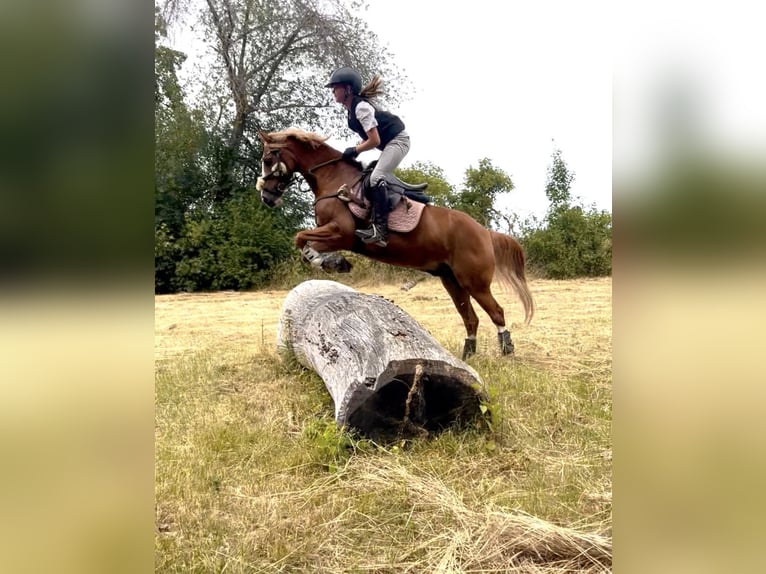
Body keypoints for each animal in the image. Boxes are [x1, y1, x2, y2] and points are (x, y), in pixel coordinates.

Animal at [256, 128, 534, 360]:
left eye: (268, 159)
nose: (266, 197)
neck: (333, 179)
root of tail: (484, 232)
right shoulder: (333, 234)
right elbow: (302, 241)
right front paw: (334, 262)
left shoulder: (341, 232)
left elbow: (301, 238)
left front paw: (329, 262)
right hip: (451, 281)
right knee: (471, 318)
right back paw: (467, 356)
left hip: (473, 281)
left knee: (496, 312)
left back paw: (506, 351)